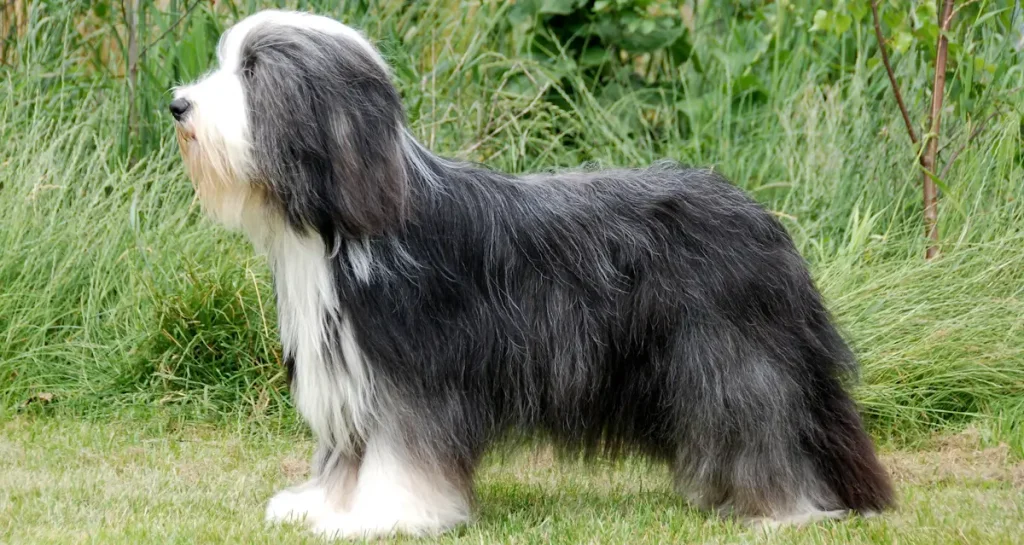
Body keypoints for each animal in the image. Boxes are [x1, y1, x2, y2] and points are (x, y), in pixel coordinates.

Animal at [167, 9, 888, 540]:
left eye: (252, 72)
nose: (177, 104)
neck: (348, 224)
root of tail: (766, 223)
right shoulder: (351, 374)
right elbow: (346, 453)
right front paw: (322, 505)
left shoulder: (412, 376)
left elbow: (403, 452)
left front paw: (387, 515)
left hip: (732, 358)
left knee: (761, 424)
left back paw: (780, 509)